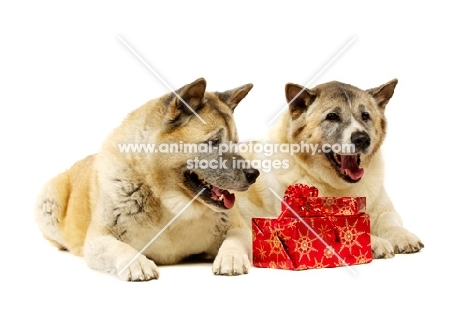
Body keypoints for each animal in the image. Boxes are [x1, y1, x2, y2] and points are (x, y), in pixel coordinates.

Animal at [238, 80, 424, 258]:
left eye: (365, 116)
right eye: (332, 116)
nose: (362, 139)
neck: (341, 186)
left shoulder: (385, 210)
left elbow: (389, 221)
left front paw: (403, 236)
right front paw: (375, 242)